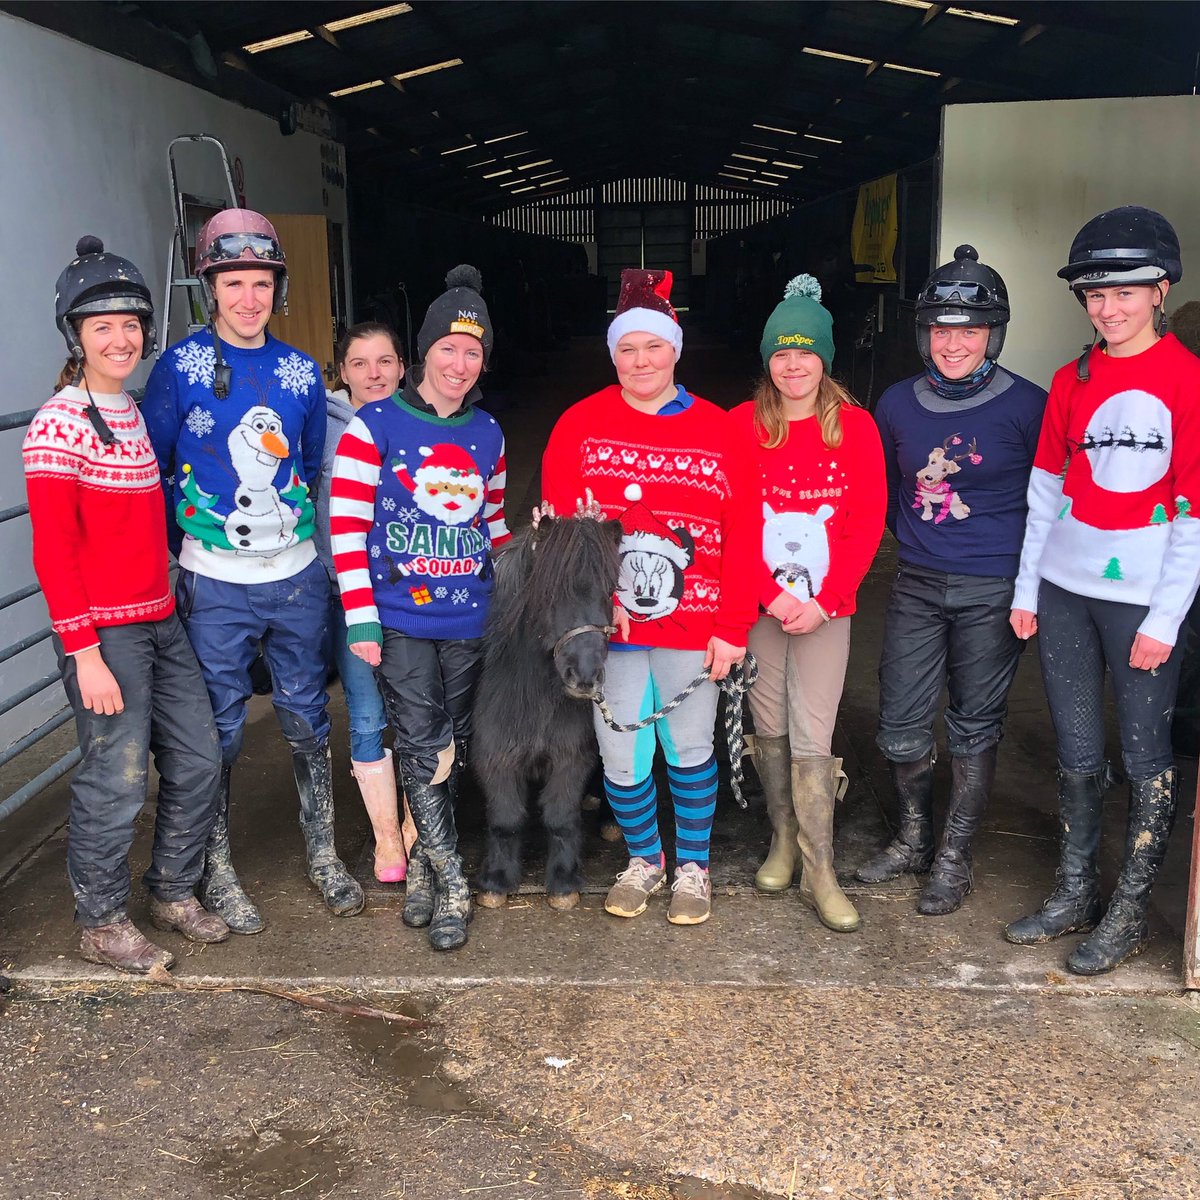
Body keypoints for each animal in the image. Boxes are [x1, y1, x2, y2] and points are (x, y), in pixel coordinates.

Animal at [472, 511, 622, 910]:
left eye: (610, 589)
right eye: (549, 592)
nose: (585, 677)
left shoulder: (571, 756)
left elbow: (560, 818)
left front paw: (564, 882)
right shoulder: (496, 756)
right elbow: (506, 819)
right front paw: (496, 881)